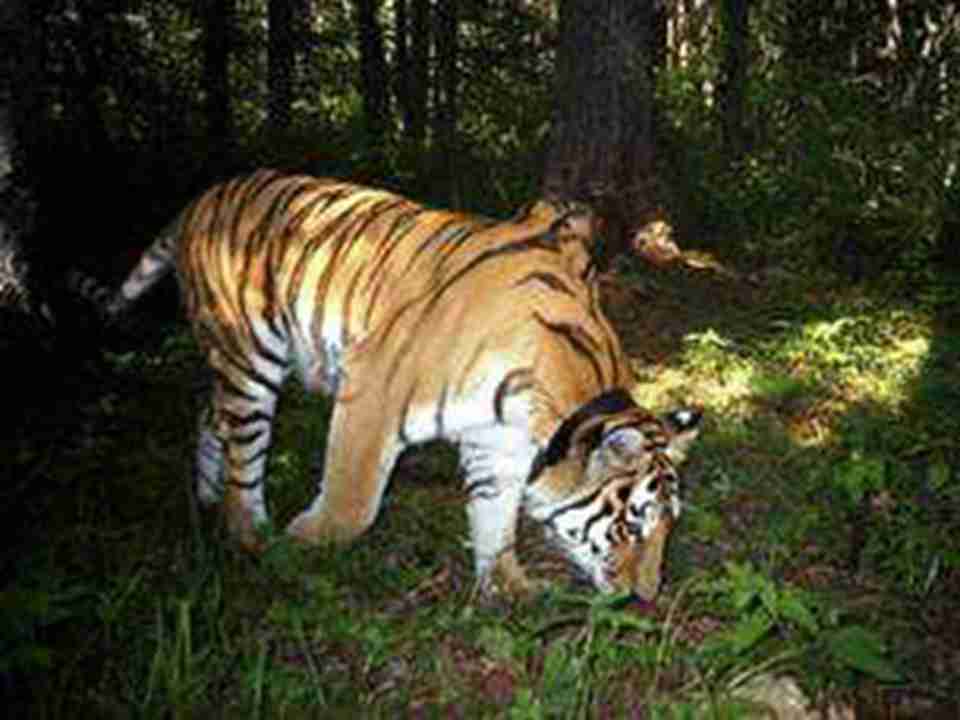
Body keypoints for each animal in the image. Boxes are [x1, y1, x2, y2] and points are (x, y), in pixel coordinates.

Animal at [99, 169, 696, 596]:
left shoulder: (496, 440)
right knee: (244, 451)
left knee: (209, 412)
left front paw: (508, 588)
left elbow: (495, 516)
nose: (645, 598)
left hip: (232, 361)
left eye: (669, 528)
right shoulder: (373, 390)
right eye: (632, 527)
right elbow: (353, 504)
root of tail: (201, 199)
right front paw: (301, 543)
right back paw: (252, 537)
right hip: (250, 359)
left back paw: (205, 497)